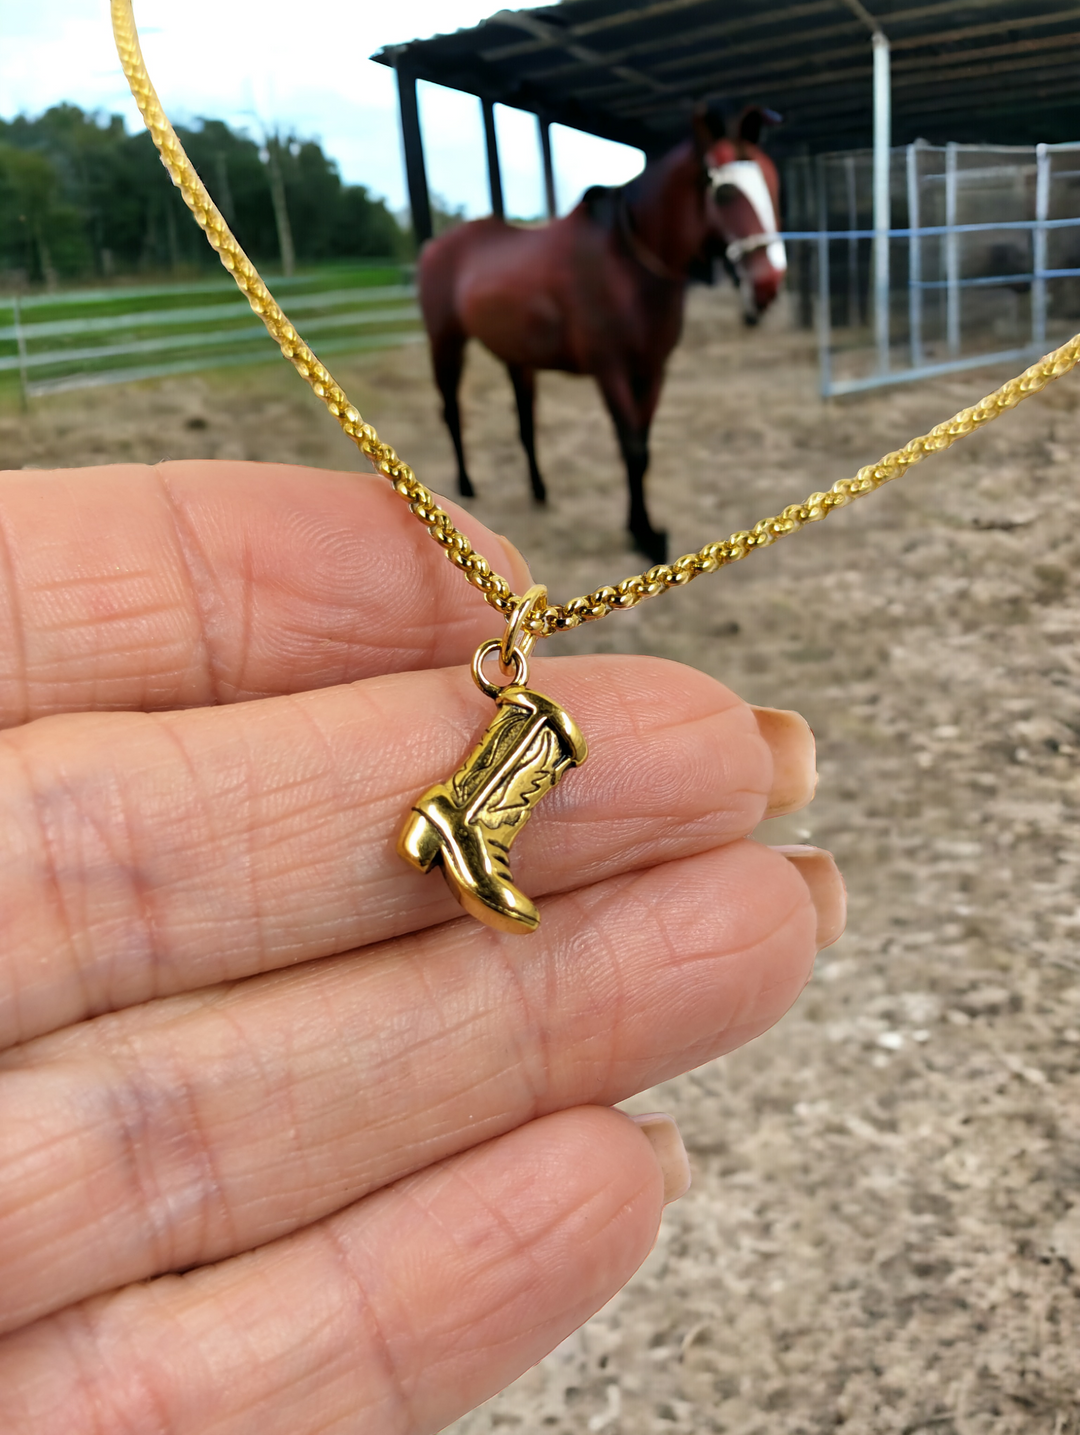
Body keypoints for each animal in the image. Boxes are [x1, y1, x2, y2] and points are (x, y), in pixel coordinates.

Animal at [418, 106, 785, 562]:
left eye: (772, 181)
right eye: (725, 193)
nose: (769, 284)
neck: (628, 262)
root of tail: (435, 246)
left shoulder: (652, 369)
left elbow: (643, 448)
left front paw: (641, 527)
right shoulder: (610, 371)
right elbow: (631, 448)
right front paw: (645, 536)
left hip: (517, 357)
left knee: (525, 423)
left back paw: (539, 491)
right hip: (446, 343)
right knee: (451, 411)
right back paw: (466, 486)